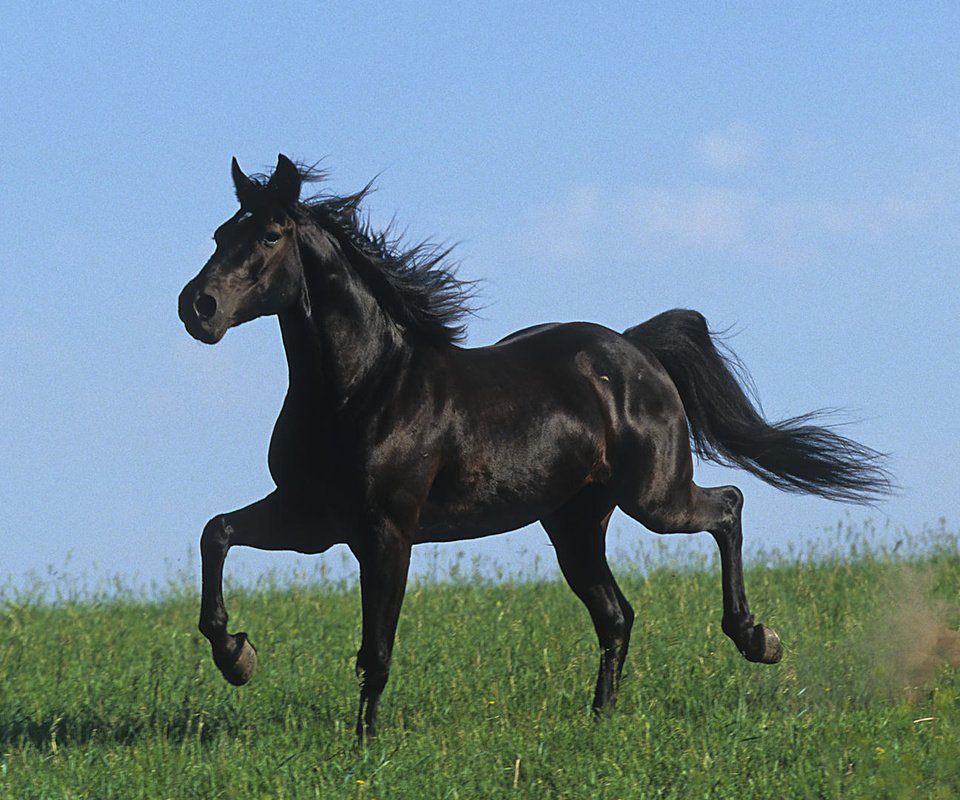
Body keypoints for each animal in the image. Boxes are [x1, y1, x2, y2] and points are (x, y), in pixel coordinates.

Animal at [178, 153, 884, 740]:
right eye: (219, 234)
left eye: (269, 236)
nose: (197, 307)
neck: (363, 388)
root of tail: (636, 349)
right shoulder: (313, 521)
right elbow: (217, 533)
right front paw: (237, 656)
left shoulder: (386, 532)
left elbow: (375, 648)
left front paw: (363, 746)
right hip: (574, 522)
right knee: (617, 614)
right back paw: (600, 720)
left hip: (655, 499)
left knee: (728, 506)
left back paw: (757, 639)